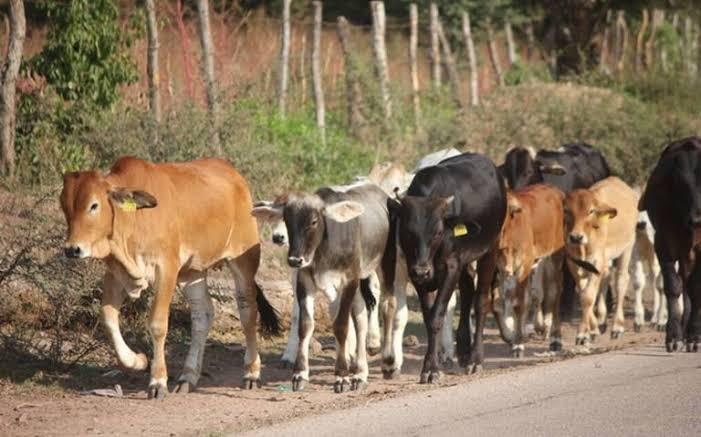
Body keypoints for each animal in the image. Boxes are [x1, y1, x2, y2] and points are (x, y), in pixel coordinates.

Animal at [59, 157, 278, 398]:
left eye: (94, 205)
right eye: (64, 206)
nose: (72, 249)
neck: (134, 218)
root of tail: (235, 175)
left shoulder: (167, 269)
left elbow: (157, 324)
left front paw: (157, 382)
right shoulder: (117, 274)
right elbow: (108, 318)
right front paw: (137, 361)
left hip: (242, 262)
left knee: (248, 311)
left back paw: (251, 373)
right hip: (191, 273)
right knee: (202, 315)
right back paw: (188, 377)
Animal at [386, 152, 506, 382]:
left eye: (438, 233)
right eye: (407, 231)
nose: (423, 270)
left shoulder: (451, 267)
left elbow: (437, 316)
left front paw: (432, 369)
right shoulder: (418, 276)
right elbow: (428, 318)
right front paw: (429, 366)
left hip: (490, 249)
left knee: (480, 301)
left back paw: (475, 359)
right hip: (465, 261)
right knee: (467, 292)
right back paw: (464, 351)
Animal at [494, 184, 568, 354]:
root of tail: (555, 190)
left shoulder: (523, 266)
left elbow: (518, 303)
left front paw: (518, 344)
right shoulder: (500, 269)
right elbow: (502, 300)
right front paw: (513, 335)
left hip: (555, 257)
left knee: (554, 293)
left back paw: (555, 339)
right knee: (536, 294)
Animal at [640, 135, 700, 350]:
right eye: (681, 183)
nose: (697, 219)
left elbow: (695, 287)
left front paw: (695, 336)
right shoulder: (663, 242)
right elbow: (673, 286)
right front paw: (674, 336)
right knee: (684, 283)